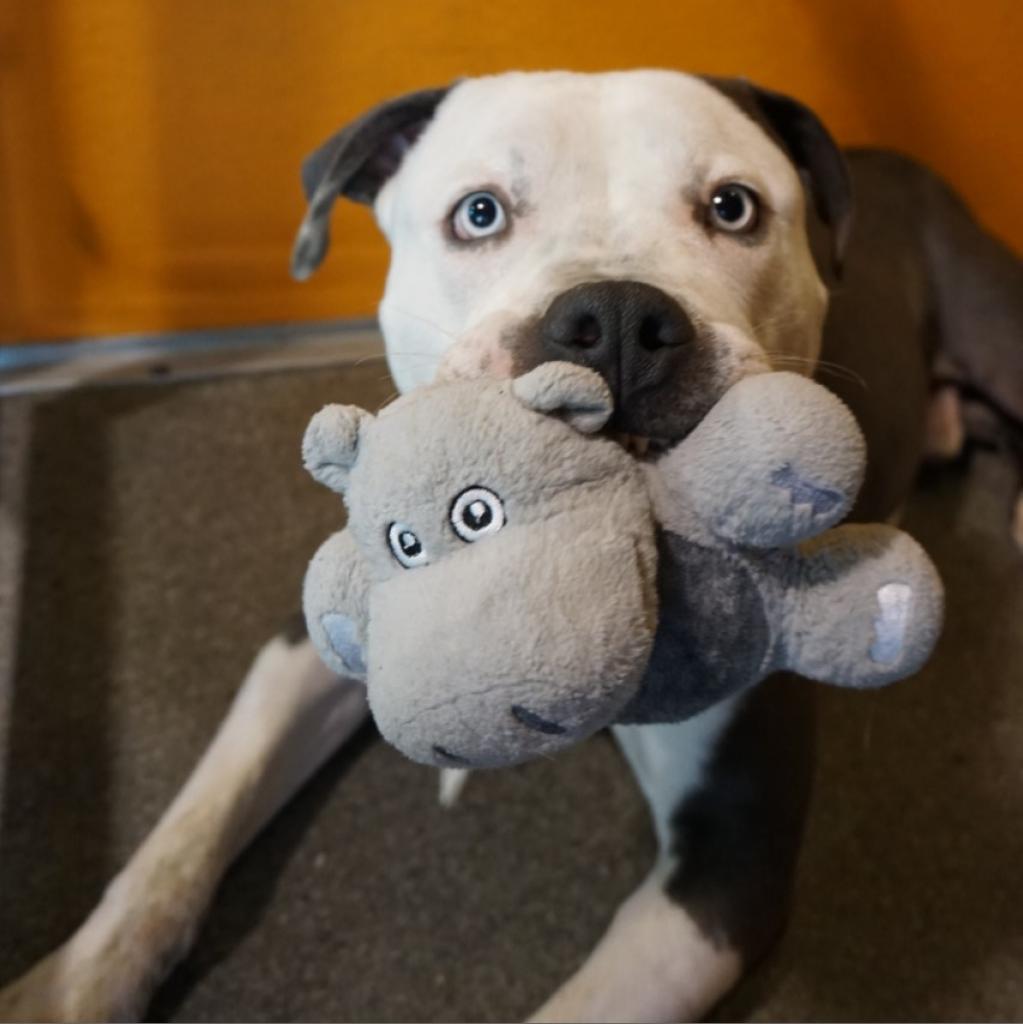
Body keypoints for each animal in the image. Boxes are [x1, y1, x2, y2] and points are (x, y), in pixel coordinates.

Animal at [2, 70, 1023, 1024]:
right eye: (479, 213)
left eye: (732, 207)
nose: (617, 319)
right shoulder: (312, 642)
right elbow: (185, 834)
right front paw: (69, 985)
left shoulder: (723, 875)